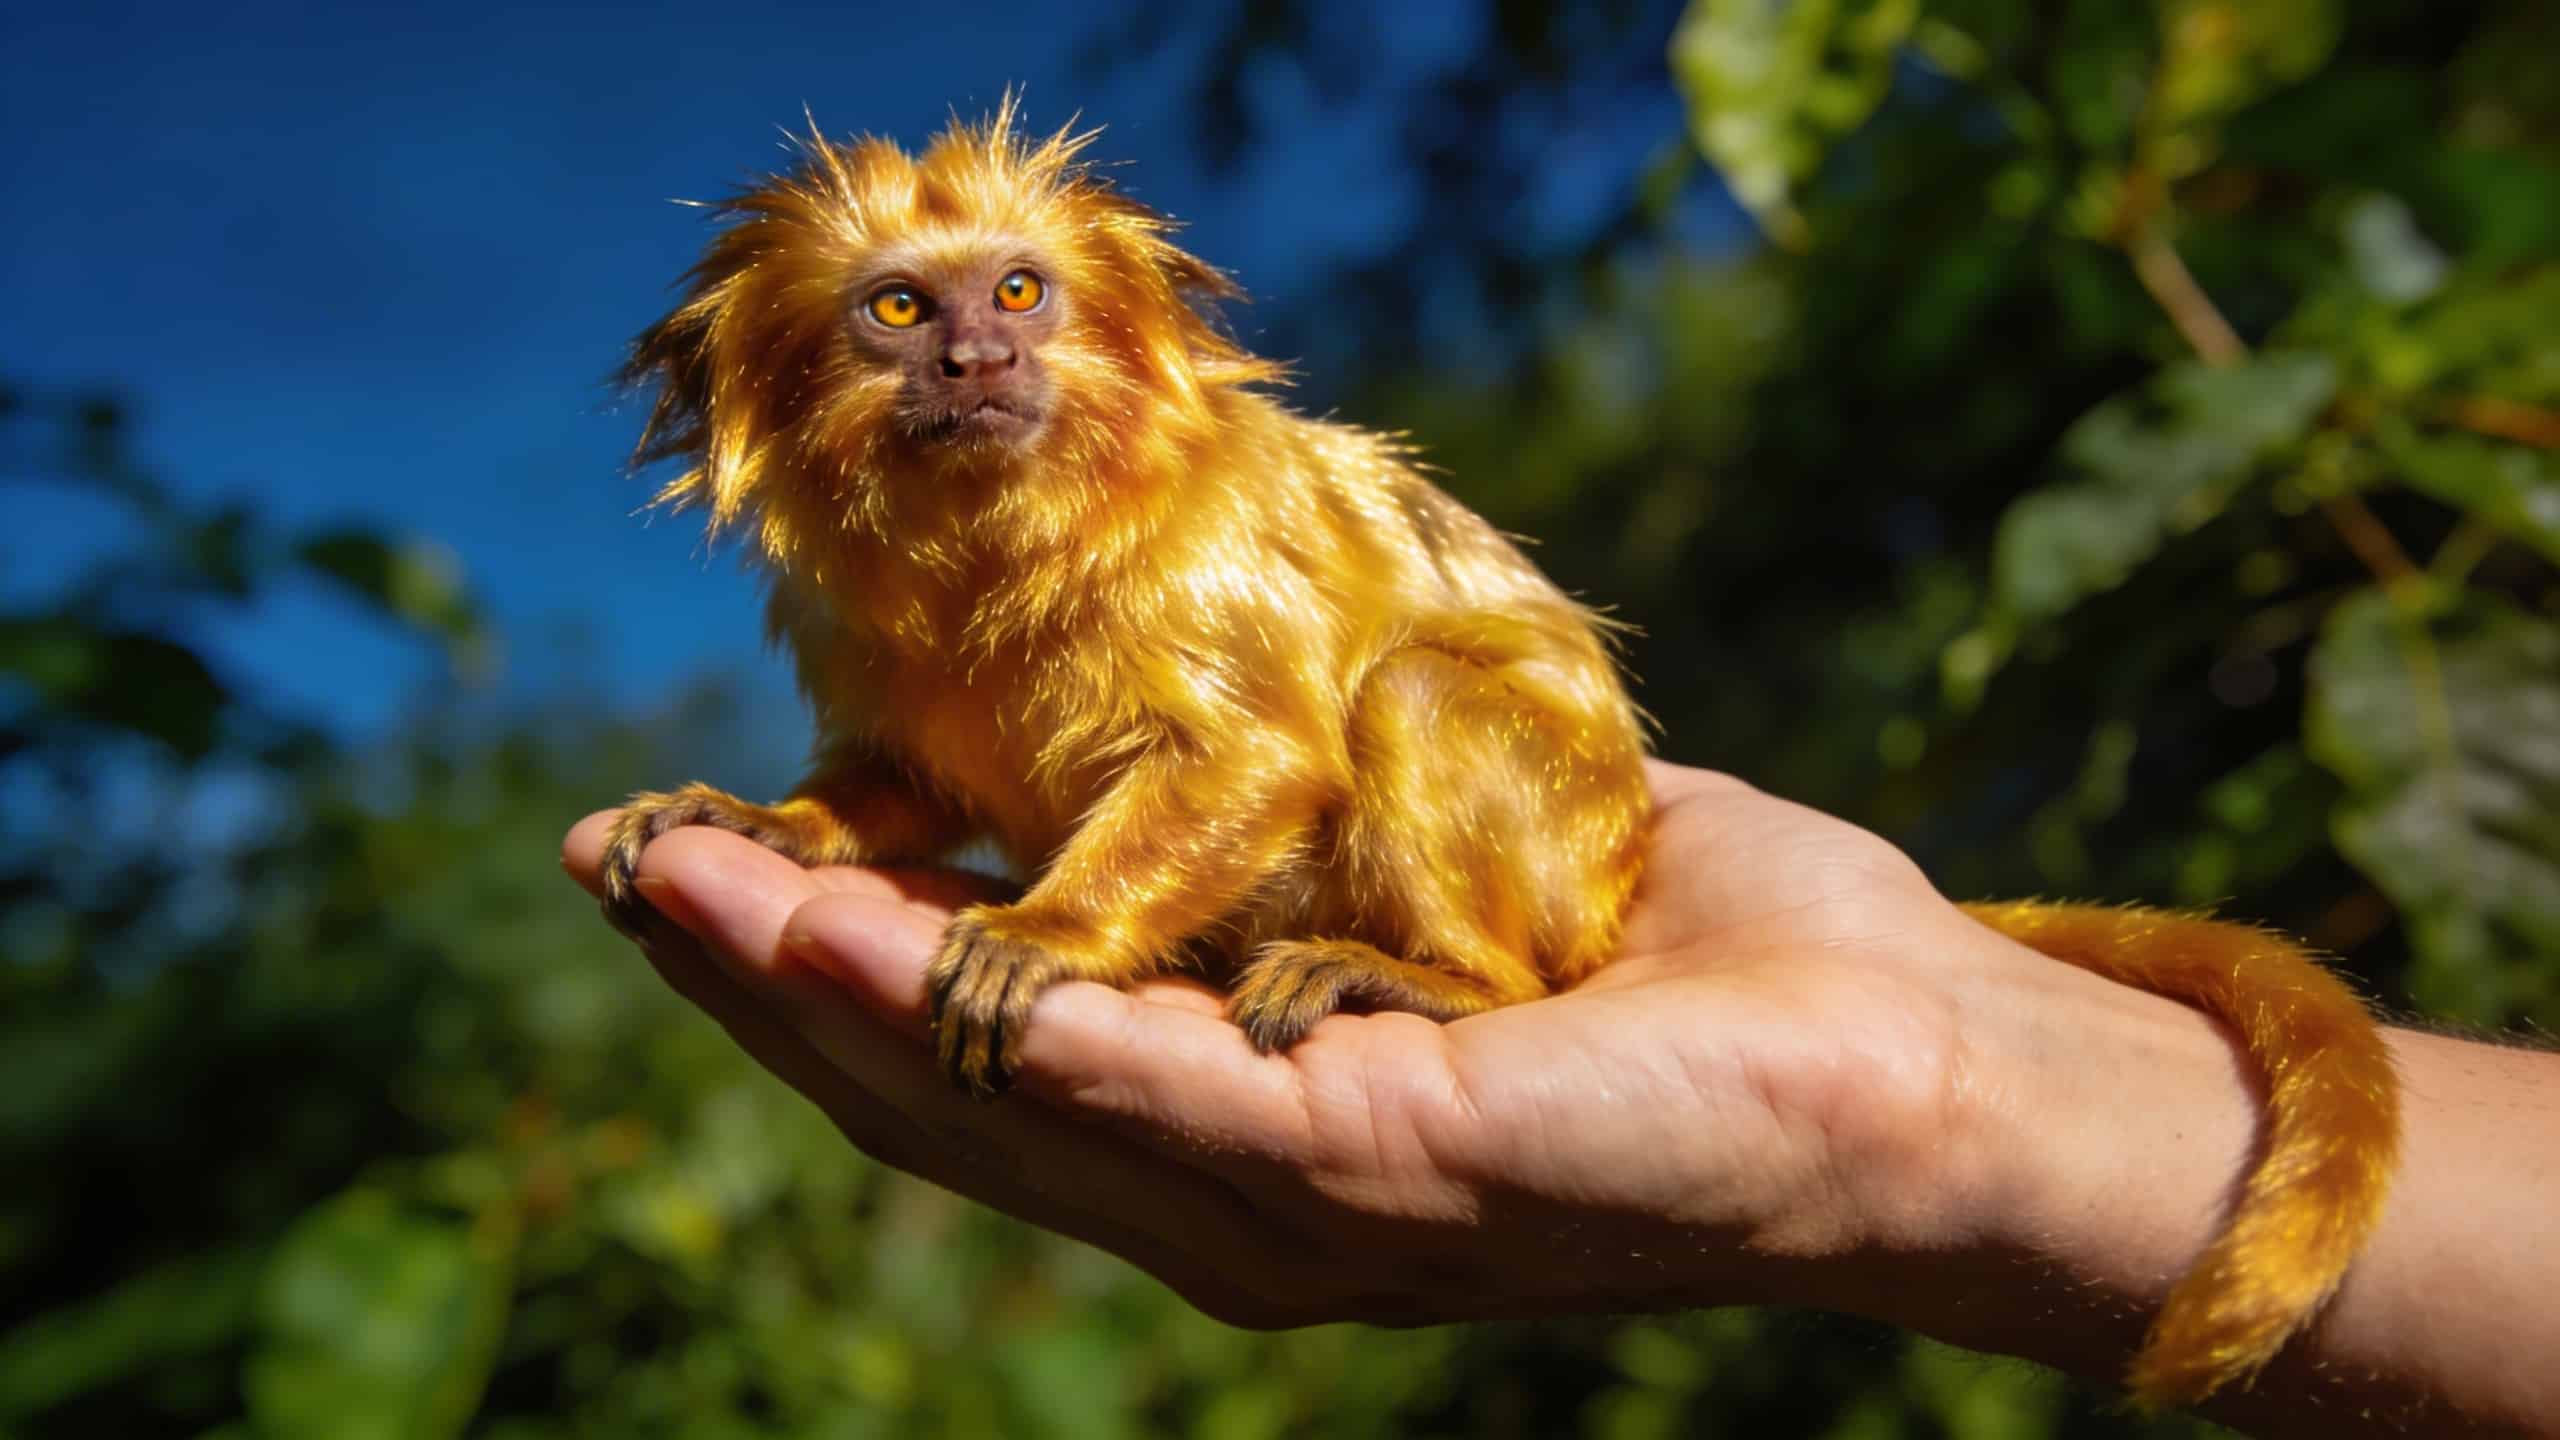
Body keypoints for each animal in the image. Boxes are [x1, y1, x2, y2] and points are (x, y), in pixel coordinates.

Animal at [596, 100, 2398, 1412]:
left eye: (1020, 289)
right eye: (900, 307)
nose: (981, 356)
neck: (1002, 537)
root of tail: (1619, 876)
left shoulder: (1204, 572)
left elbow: (1258, 759)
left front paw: (1046, 929)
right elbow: (898, 781)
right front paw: (767, 821)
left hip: (1559, 851)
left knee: (1415, 708)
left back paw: (1440, 982)